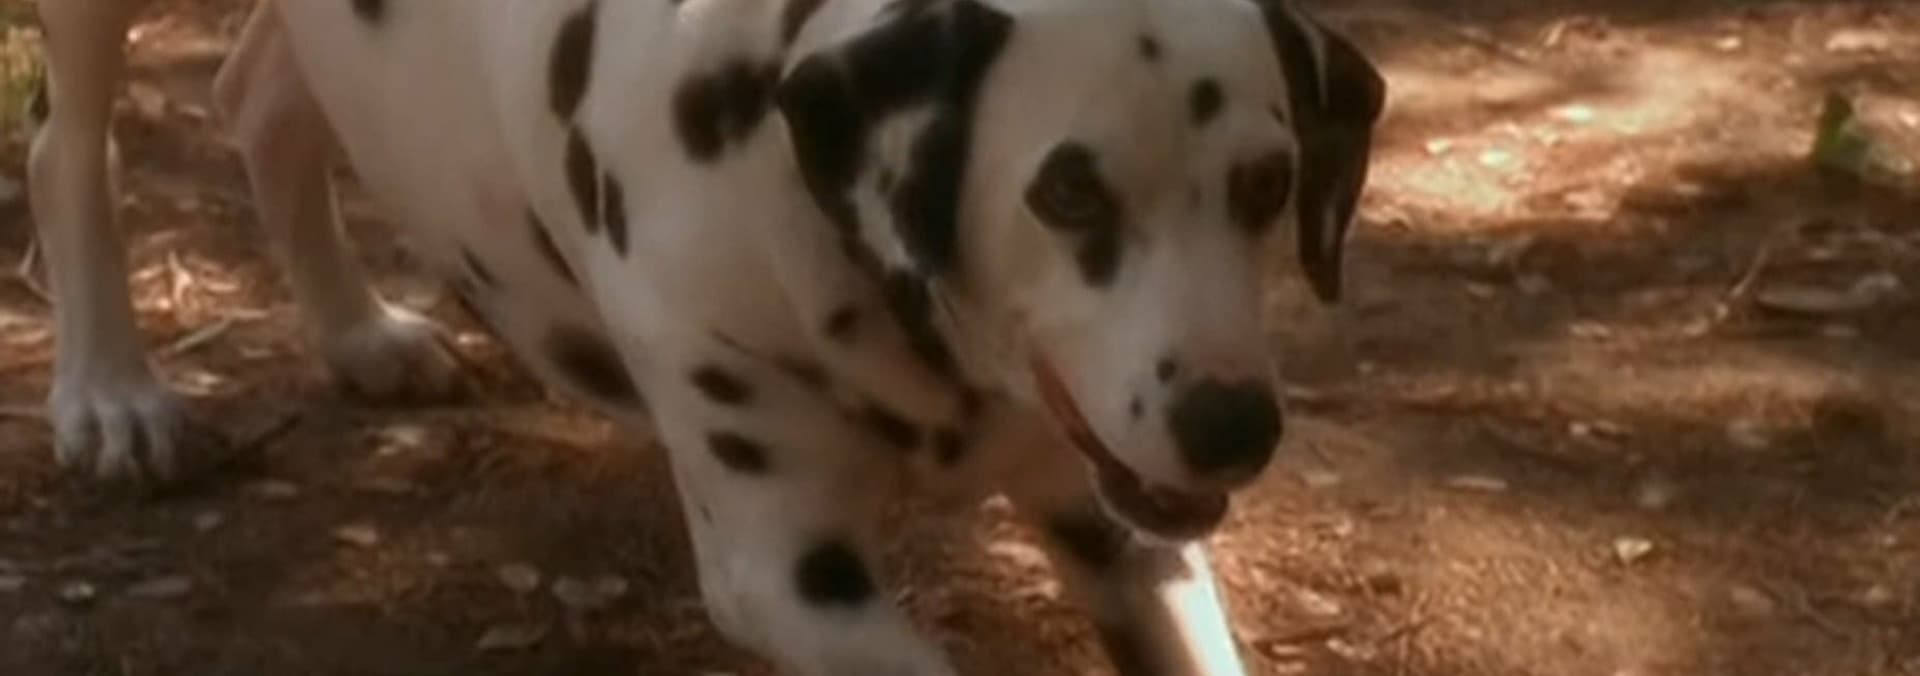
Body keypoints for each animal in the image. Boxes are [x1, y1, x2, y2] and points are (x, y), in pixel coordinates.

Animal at [28, 0, 1384, 672]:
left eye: (1267, 182)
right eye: (1067, 192)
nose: (1233, 425)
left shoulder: (1119, 521)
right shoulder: (791, 578)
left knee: (263, 94)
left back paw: (358, 331)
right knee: (68, 145)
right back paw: (113, 395)